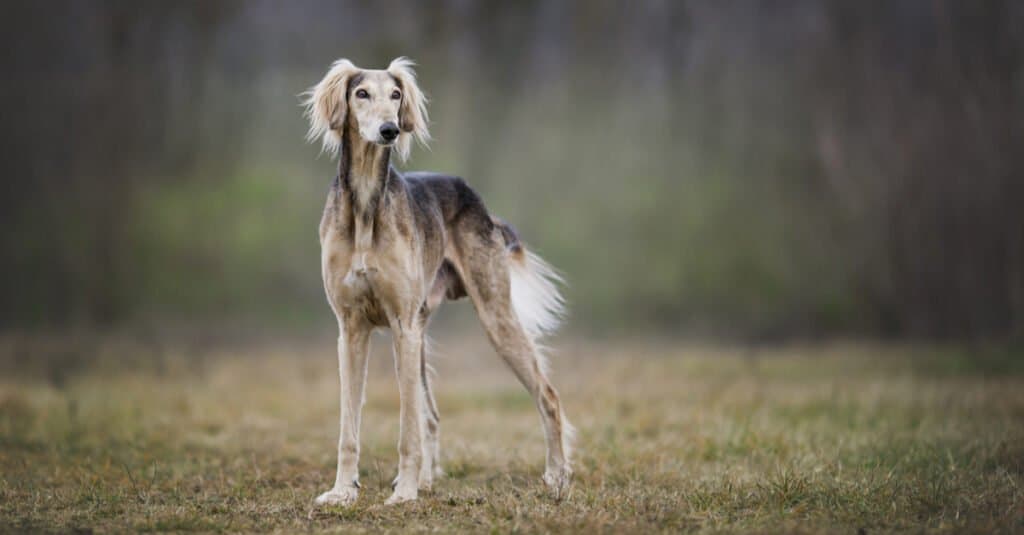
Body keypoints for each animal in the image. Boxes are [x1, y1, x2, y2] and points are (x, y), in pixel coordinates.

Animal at [303, 58, 573, 504]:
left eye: (396, 95)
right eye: (361, 93)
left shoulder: (402, 326)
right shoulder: (351, 329)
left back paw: (557, 476)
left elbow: (406, 426)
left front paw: (404, 492)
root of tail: (476, 198)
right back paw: (428, 479)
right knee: (431, 414)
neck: (366, 207)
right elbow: (349, 427)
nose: (390, 129)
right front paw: (343, 492)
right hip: (422, 331)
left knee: (547, 396)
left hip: (492, 317)